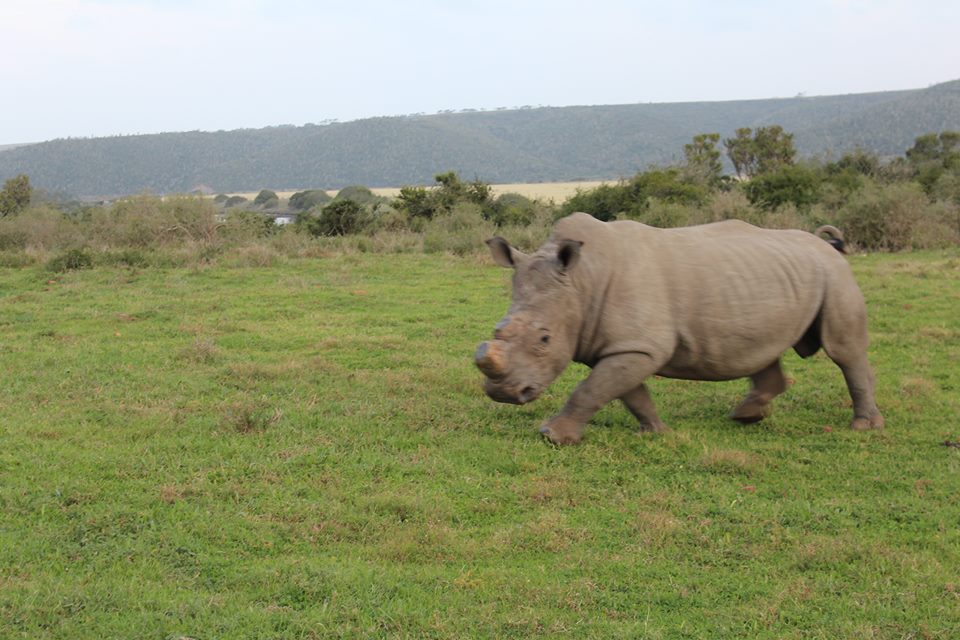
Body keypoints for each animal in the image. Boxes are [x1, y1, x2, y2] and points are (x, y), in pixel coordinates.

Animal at [474, 212, 884, 442]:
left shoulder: (637, 345)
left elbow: (590, 389)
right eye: (497, 330)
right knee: (761, 347)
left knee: (844, 350)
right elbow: (626, 392)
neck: (580, 280)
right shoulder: (625, 345)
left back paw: (863, 429)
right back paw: (746, 417)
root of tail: (828, 245)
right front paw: (656, 433)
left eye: (544, 338)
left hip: (834, 274)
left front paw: (552, 436)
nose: (504, 394)